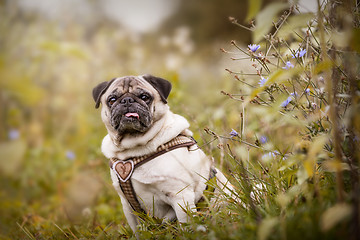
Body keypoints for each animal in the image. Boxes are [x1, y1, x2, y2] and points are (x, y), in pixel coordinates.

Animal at [93, 74, 231, 233]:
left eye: (144, 97)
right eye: (112, 99)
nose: (127, 100)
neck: (134, 151)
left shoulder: (180, 197)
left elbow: (186, 227)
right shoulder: (128, 207)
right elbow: (137, 232)